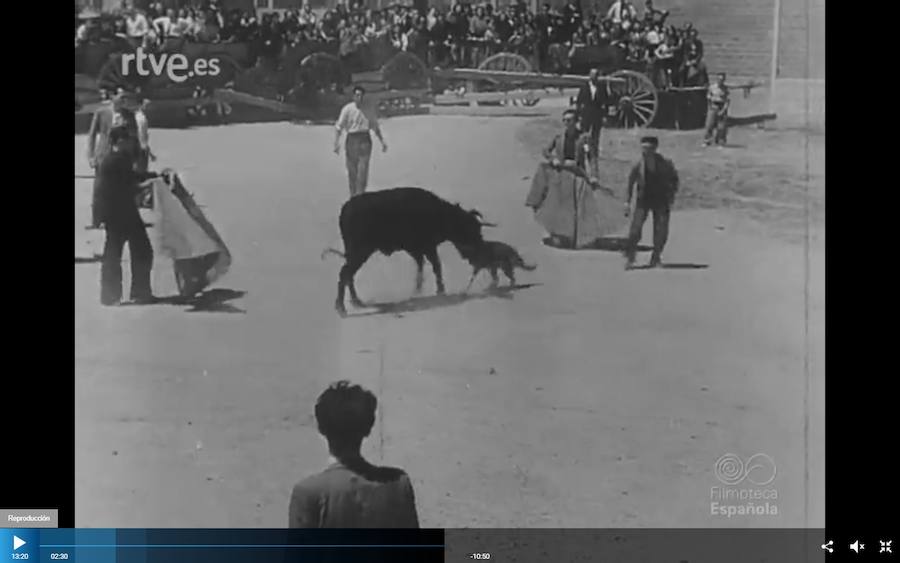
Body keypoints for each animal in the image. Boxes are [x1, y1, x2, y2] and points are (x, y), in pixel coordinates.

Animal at [322, 188, 496, 318]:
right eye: (470, 228)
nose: (481, 247)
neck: (441, 213)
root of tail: (345, 209)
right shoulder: (428, 248)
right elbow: (436, 266)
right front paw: (440, 291)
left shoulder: (417, 250)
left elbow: (421, 266)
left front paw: (418, 290)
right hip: (360, 253)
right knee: (345, 273)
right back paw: (342, 308)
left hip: (355, 254)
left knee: (348, 275)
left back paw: (355, 302)